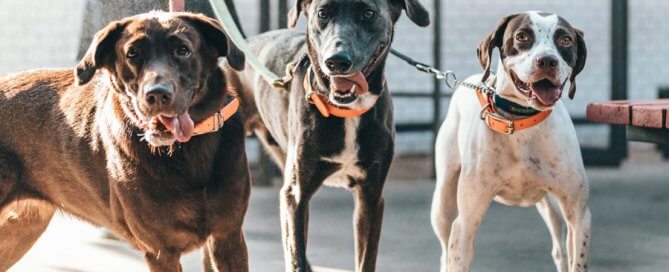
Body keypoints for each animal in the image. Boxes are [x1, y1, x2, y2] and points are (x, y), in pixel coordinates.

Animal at [0, 11, 249, 270]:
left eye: (183, 50)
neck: (186, 150)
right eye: (132, 53)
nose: (157, 94)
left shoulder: (227, 238)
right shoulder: (161, 251)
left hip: (22, 229)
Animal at [228, 0, 428, 272]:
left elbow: (366, 259)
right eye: (323, 13)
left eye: (368, 13)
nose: (337, 61)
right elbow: (297, 258)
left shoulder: (371, 197)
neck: (348, 110)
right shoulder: (295, 195)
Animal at [430, 11, 588, 272]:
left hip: (552, 207)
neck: (520, 121)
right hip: (443, 203)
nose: (547, 61)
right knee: (443, 251)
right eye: (522, 36)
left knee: (559, 249)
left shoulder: (579, 215)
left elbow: (578, 259)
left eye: (565, 40)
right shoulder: (466, 222)